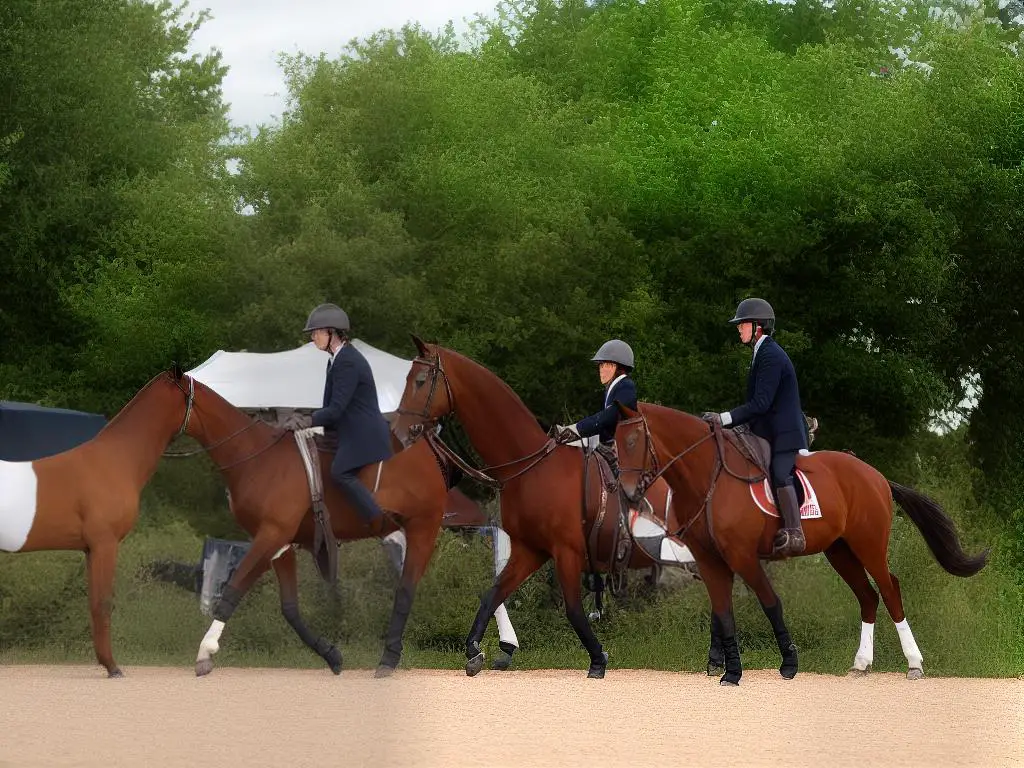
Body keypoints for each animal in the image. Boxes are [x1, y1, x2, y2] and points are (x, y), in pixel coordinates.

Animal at [0, 370, 193, 675]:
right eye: (192, 390)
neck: (115, 459)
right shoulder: (105, 544)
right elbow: (103, 604)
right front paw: (112, 667)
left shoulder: (90, 549)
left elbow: (93, 603)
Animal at [163, 370, 452, 675]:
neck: (257, 456)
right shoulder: (280, 543)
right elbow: (289, 607)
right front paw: (331, 655)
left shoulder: (271, 534)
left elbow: (235, 586)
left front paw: (206, 652)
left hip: (423, 528)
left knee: (406, 589)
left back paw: (390, 659)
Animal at [391, 335, 696, 679]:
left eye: (420, 380)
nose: (399, 432)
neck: (532, 468)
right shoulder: (530, 550)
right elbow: (492, 594)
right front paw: (474, 651)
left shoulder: (567, 552)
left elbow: (574, 610)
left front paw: (598, 659)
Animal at [610, 403, 987, 684]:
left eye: (633, 441)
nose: (626, 492)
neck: (708, 477)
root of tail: (875, 474)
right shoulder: (710, 560)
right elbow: (722, 611)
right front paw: (723, 668)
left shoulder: (743, 556)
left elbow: (770, 603)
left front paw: (787, 664)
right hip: (839, 551)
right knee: (868, 596)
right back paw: (861, 664)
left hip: (868, 544)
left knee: (889, 588)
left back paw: (914, 663)